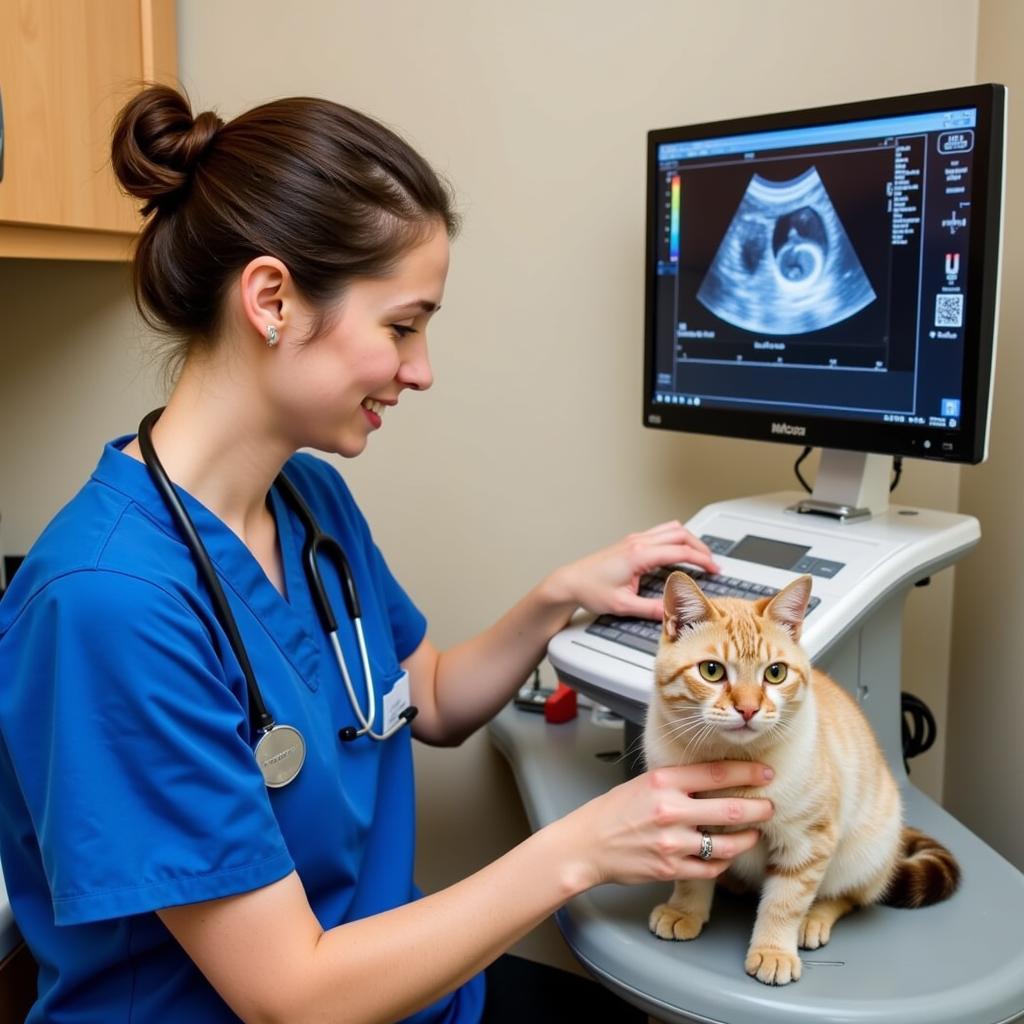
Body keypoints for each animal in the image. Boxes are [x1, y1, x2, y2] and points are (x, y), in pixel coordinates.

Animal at [643, 573, 954, 987]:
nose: (748, 709)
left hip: (861, 855)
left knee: (848, 896)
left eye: (775, 673)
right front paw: (685, 911)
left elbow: (785, 901)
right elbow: (692, 877)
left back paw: (813, 920)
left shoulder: (807, 841)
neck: (730, 762)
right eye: (711, 670)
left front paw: (774, 950)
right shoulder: (686, 824)